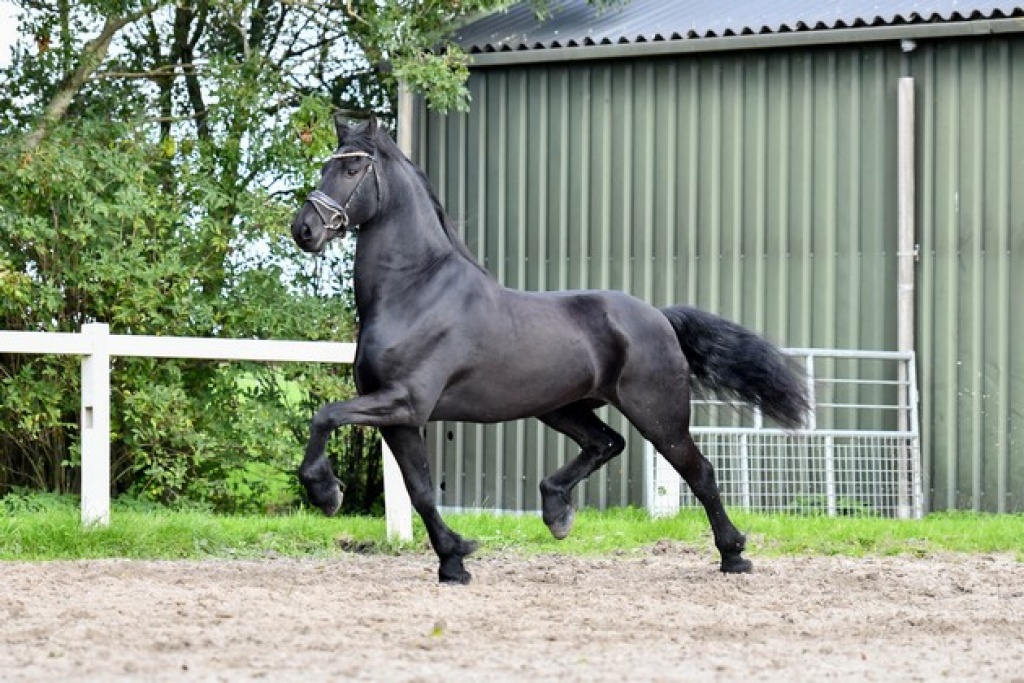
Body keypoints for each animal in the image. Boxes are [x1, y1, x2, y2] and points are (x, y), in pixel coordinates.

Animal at [290, 115, 810, 584]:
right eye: (326, 166)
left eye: (352, 168)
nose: (305, 229)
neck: (414, 291)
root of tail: (659, 317)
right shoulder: (399, 418)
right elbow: (420, 492)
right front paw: (454, 561)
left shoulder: (405, 401)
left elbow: (325, 416)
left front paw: (326, 492)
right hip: (562, 407)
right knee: (607, 443)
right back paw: (557, 510)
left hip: (658, 413)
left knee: (698, 472)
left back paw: (734, 555)